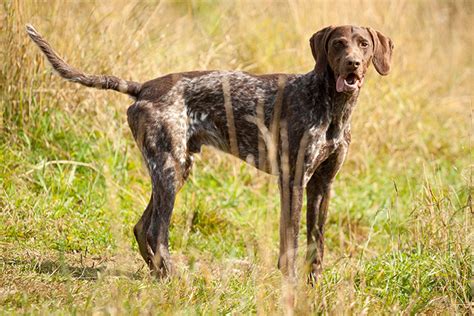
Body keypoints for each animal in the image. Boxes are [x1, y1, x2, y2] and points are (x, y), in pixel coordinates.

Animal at [25, 24, 392, 282]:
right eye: (338, 43)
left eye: (364, 44)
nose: (353, 64)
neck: (332, 107)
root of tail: (143, 87)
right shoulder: (292, 181)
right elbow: (290, 241)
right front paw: (290, 284)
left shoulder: (322, 185)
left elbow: (317, 241)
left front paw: (313, 284)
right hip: (169, 169)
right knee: (156, 231)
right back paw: (173, 277)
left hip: (175, 169)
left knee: (141, 227)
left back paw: (158, 274)